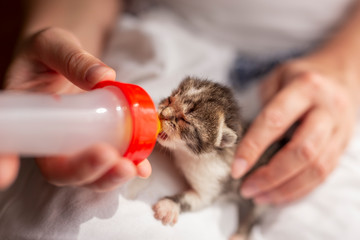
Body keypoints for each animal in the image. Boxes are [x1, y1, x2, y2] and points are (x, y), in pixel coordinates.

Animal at [152, 76, 256, 236]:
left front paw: (169, 205)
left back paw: (240, 235)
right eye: (170, 99)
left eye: (185, 120)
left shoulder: (213, 180)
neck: (186, 153)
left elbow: (197, 200)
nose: (163, 113)